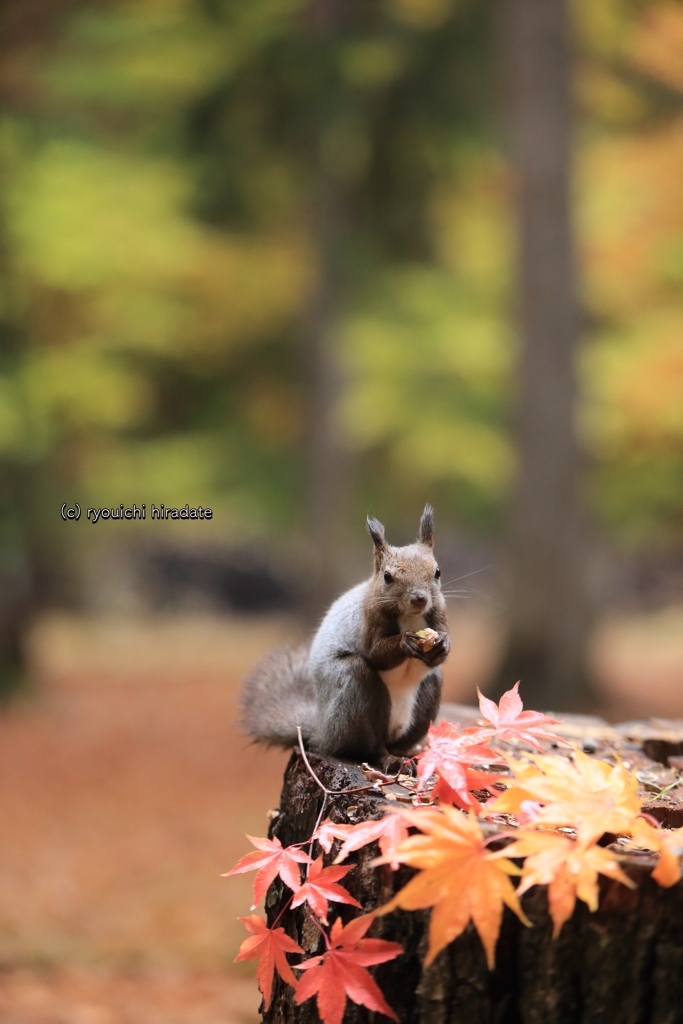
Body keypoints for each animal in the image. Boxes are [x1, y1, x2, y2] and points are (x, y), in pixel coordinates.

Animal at [240, 503, 448, 761]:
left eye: (437, 571)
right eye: (387, 576)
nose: (419, 599)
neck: (409, 617)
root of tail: (323, 732)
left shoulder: (438, 612)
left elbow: (438, 650)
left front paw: (442, 645)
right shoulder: (368, 621)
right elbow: (376, 654)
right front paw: (404, 643)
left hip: (426, 697)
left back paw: (404, 755)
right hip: (351, 691)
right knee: (366, 746)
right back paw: (385, 758)